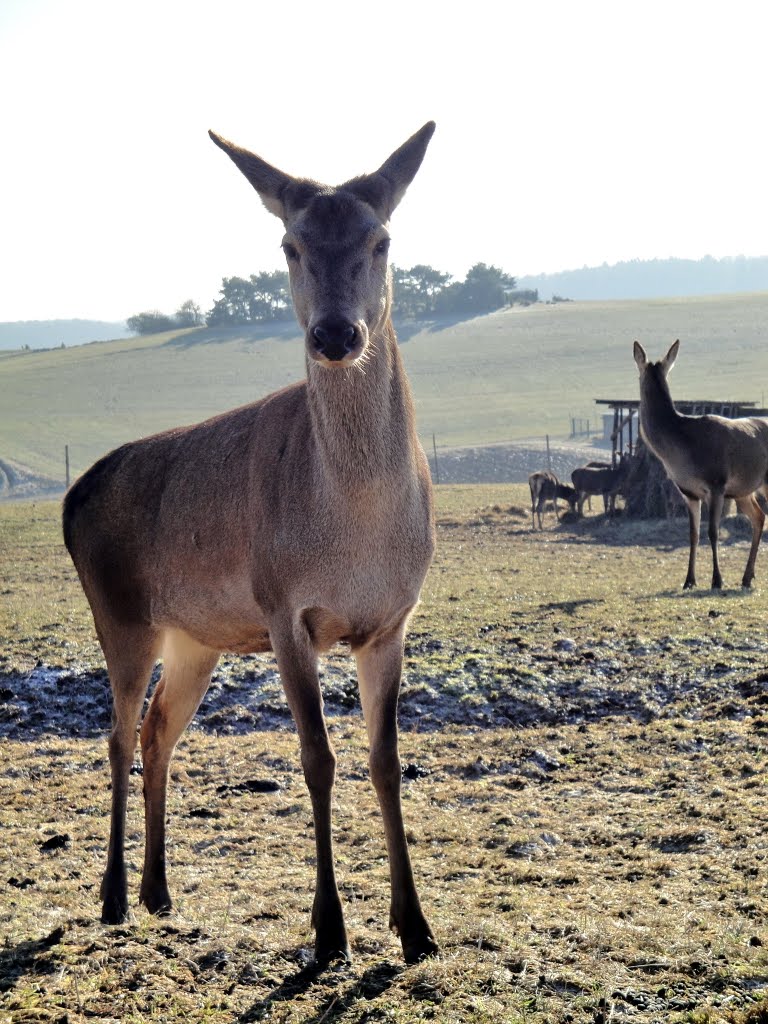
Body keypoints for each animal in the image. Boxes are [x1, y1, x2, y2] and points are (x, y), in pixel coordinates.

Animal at [61, 121, 438, 966]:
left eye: (382, 238)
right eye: (290, 243)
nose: (336, 332)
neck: (356, 531)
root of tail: (71, 496)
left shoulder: (391, 622)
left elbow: (387, 762)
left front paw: (417, 929)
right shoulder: (283, 609)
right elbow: (317, 759)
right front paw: (329, 931)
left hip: (196, 637)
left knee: (158, 729)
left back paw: (159, 891)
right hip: (119, 615)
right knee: (117, 734)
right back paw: (112, 896)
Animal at [634, 339, 768, 589]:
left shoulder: (716, 483)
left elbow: (712, 532)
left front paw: (717, 580)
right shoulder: (689, 492)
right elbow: (693, 534)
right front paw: (689, 580)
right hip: (743, 490)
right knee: (758, 517)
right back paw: (747, 577)